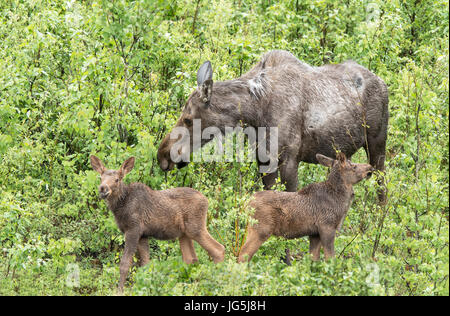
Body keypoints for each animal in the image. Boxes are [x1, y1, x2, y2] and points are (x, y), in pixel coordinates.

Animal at [89, 156, 225, 294]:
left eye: (117, 179)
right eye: (100, 177)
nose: (103, 188)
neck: (120, 207)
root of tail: (207, 200)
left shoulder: (133, 230)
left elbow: (125, 264)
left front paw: (120, 291)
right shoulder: (143, 235)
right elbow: (145, 264)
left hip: (196, 228)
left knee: (218, 249)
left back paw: (219, 283)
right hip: (184, 234)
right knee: (190, 258)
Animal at [239, 152, 372, 262]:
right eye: (353, 166)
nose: (370, 167)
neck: (341, 201)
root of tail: (246, 203)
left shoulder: (314, 234)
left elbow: (313, 260)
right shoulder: (327, 226)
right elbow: (330, 258)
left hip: (251, 228)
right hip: (261, 229)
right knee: (243, 255)